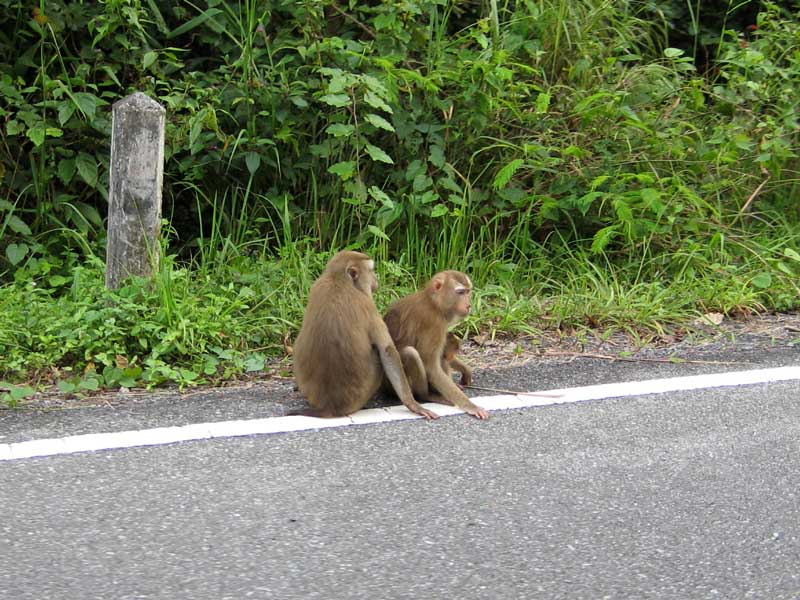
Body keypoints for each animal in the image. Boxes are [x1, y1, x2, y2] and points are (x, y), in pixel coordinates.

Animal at [292, 250, 439, 420]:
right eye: (372, 270)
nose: (376, 279)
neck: (338, 280)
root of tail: (330, 408)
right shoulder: (368, 304)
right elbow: (387, 350)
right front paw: (413, 404)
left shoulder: (316, 287)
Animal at [384, 271, 489, 420]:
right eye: (460, 292)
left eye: (468, 291)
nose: (468, 305)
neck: (434, 303)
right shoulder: (434, 324)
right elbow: (432, 367)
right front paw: (471, 406)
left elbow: (446, 356)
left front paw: (466, 369)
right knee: (411, 353)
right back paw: (427, 395)